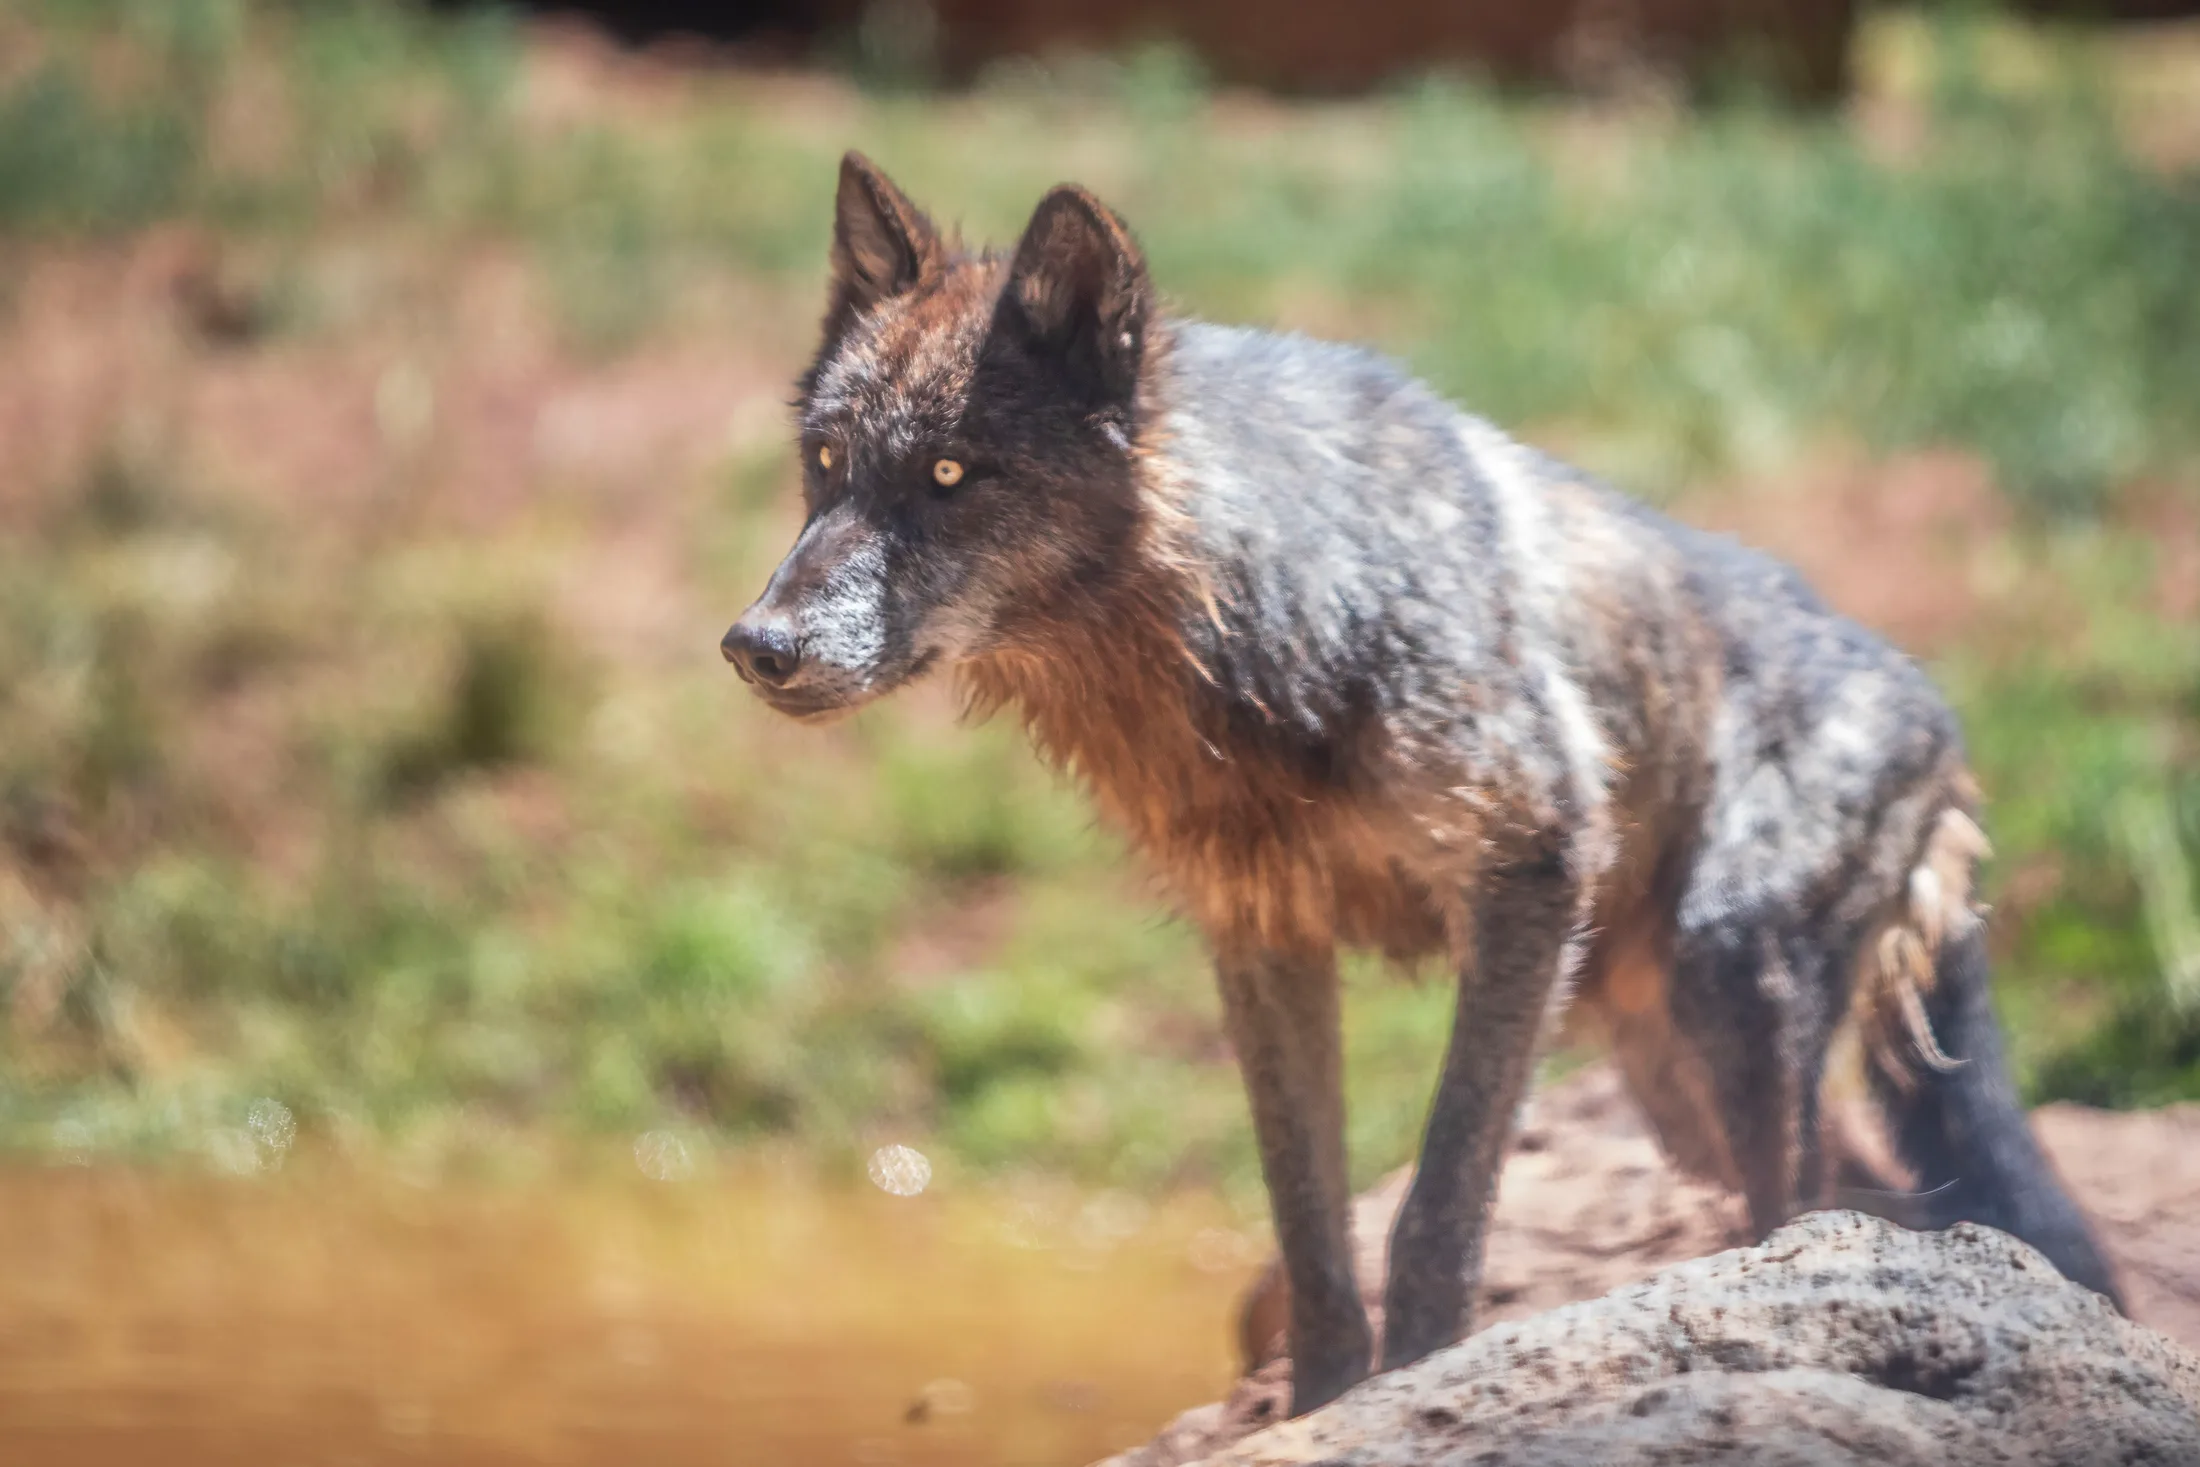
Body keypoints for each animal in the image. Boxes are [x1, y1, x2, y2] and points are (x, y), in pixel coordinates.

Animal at [722, 152, 2120, 1416]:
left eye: (952, 474)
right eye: (829, 463)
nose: (755, 646)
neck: (1249, 631)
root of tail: (1943, 719)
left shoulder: (1529, 879)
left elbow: (1436, 1215)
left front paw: (1418, 1386)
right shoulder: (1264, 942)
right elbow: (1310, 1241)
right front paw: (1325, 1407)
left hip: (1730, 989)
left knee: (1814, 1203)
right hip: (1670, 1068)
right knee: (1863, 1197)